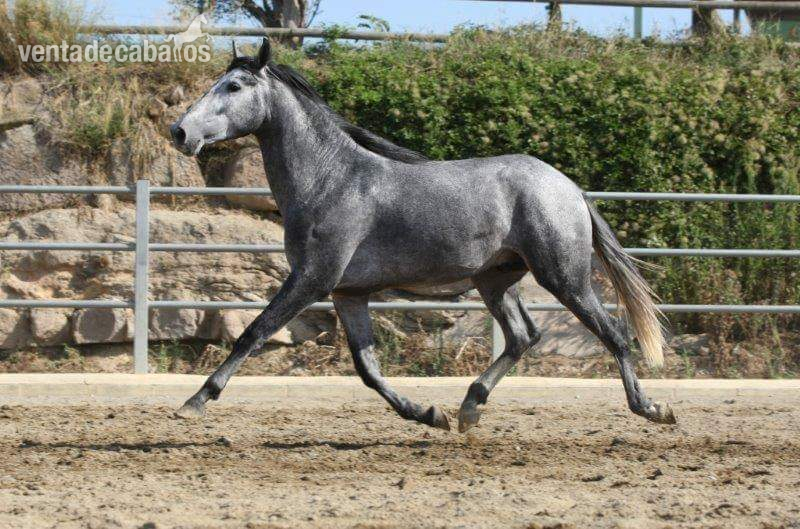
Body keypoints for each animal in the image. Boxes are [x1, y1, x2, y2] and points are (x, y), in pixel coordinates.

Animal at [169, 38, 677, 432]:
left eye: (234, 86)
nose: (180, 131)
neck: (331, 179)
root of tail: (568, 187)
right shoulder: (347, 293)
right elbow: (368, 369)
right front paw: (429, 414)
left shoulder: (312, 279)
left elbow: (253, 333)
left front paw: (193, 402)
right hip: (495, 280)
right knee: (522, 336)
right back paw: (469, 409)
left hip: (563, 276)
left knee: (613, 333)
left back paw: (652, 409)